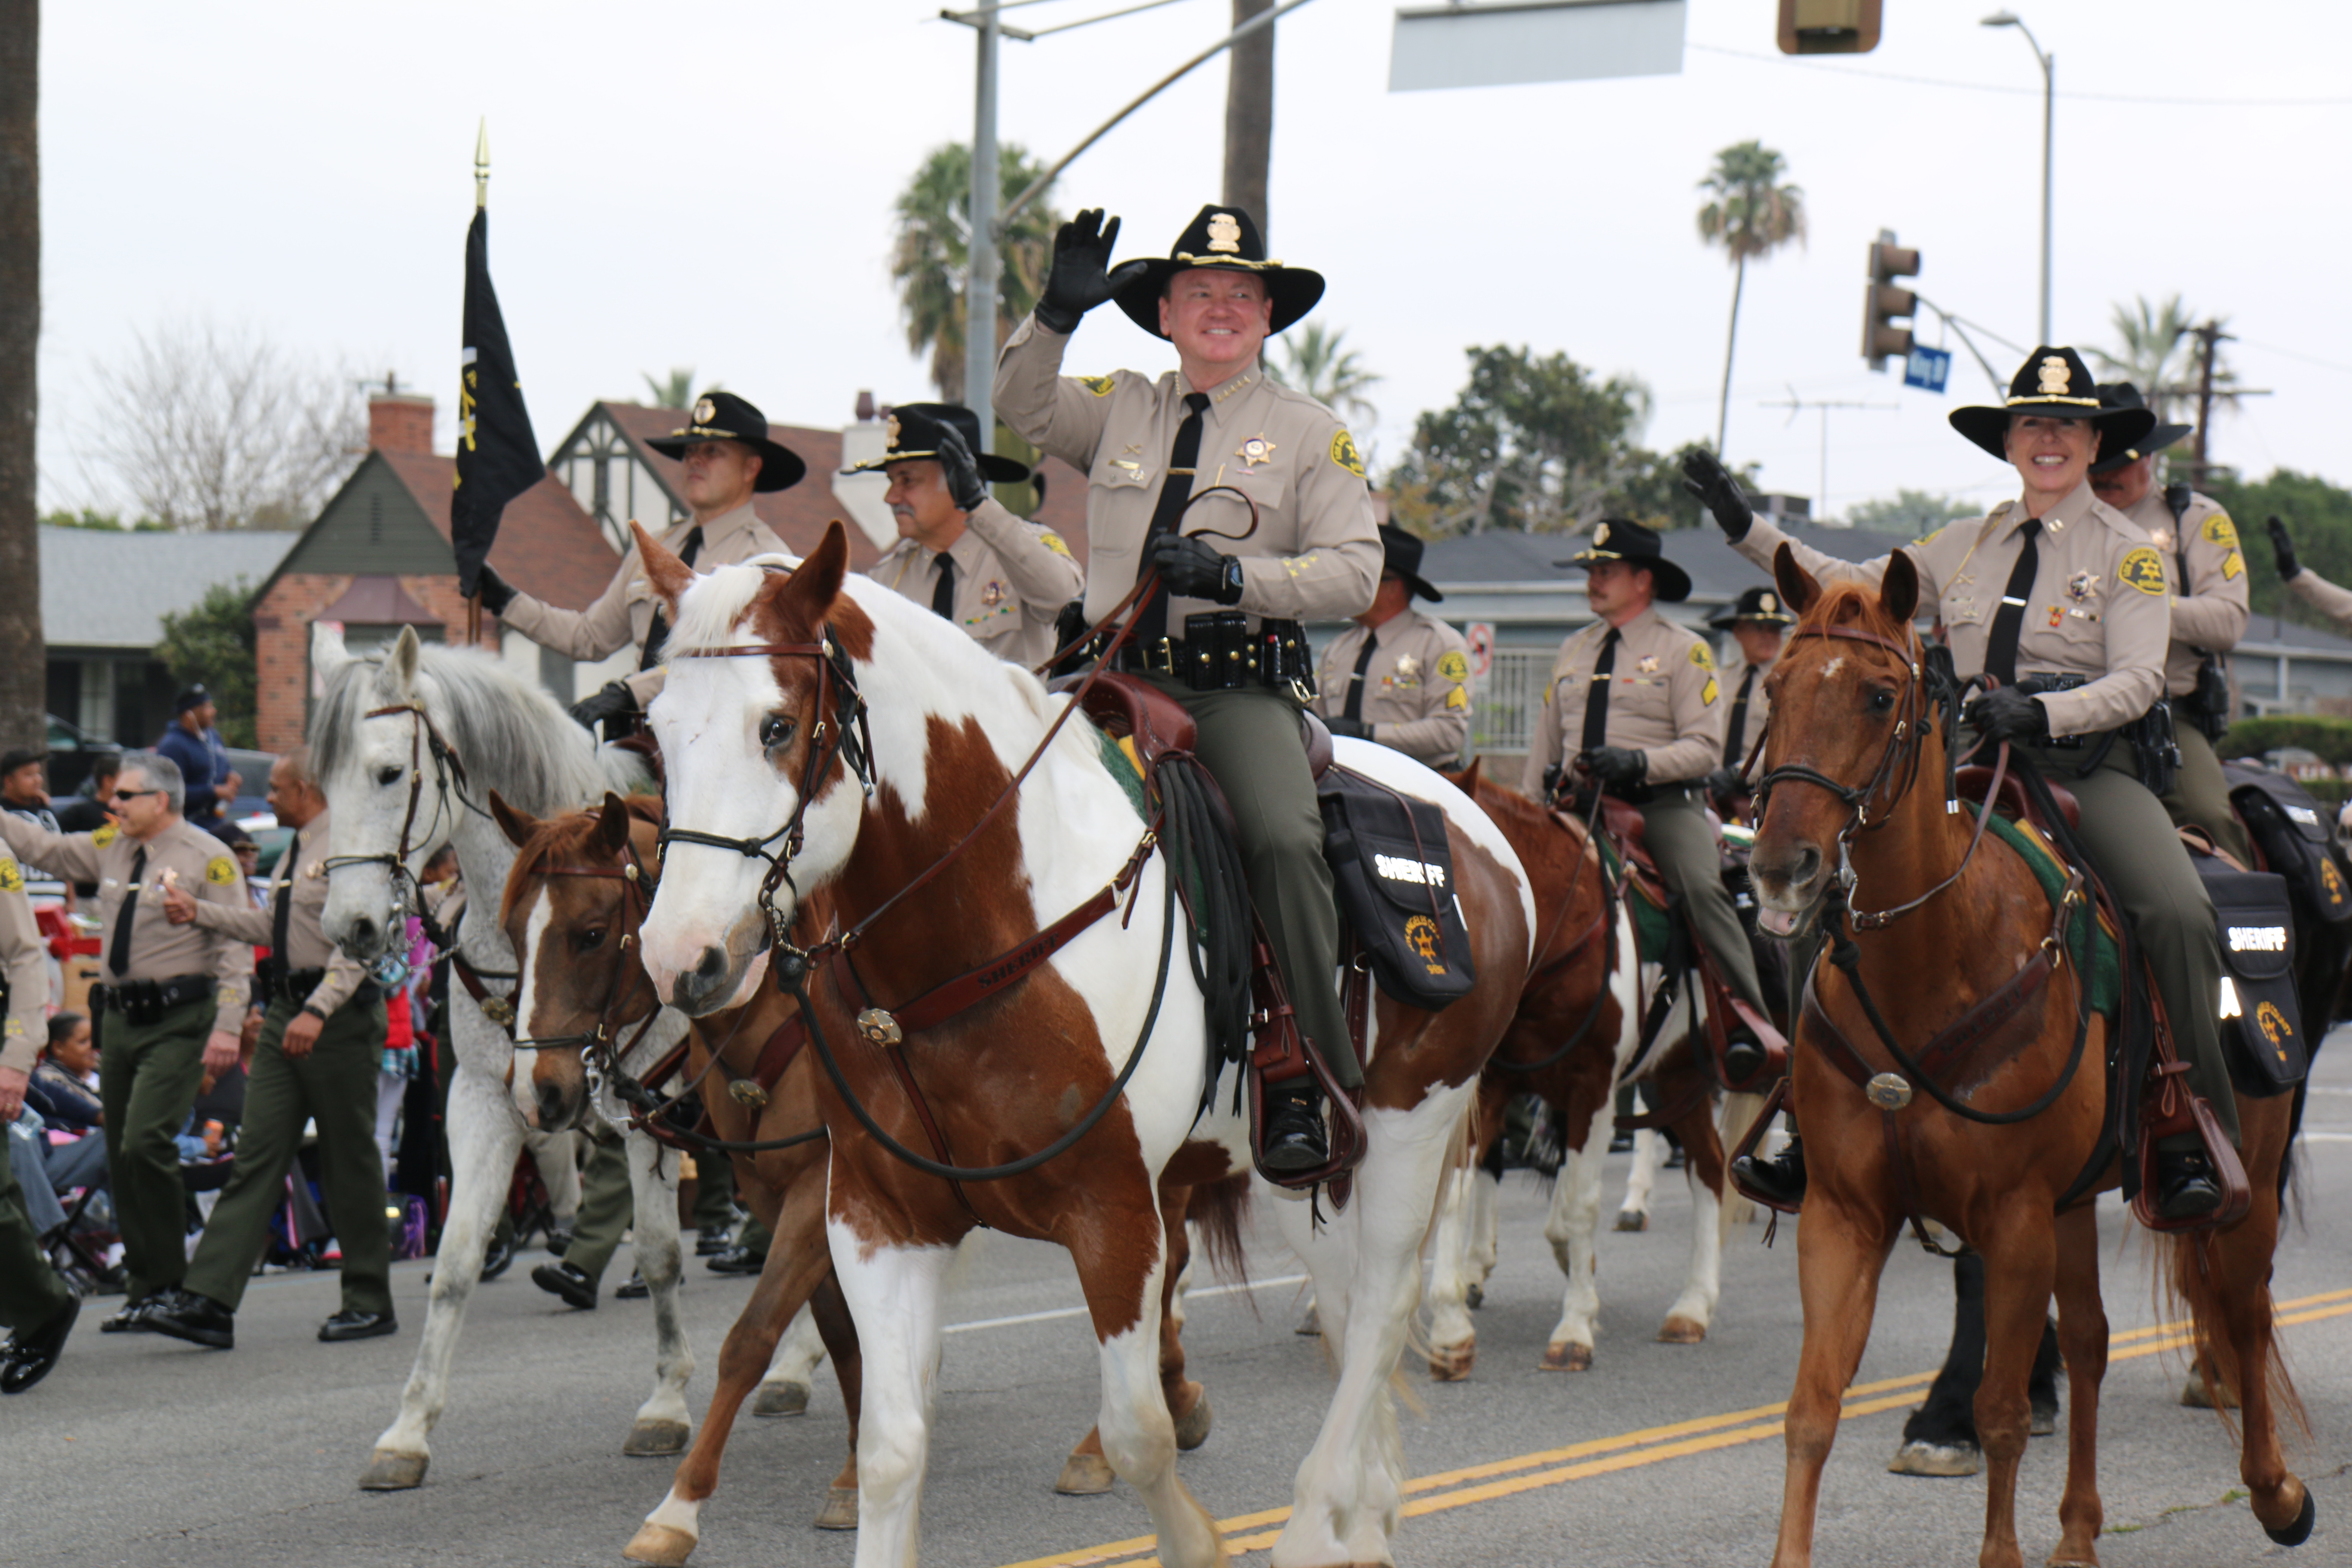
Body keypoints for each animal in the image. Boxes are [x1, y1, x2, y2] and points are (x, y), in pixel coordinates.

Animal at [301, 620, 696, 1495]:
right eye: (322, 781)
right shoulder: (487, 1098)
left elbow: (659, 1252)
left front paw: (667, 1405)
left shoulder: (650, 1106)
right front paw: (408, 1431)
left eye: (388, 771)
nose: (348, 926)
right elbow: (454, 1261)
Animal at [635, 527, 1533, 1568]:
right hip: (1297, 1165)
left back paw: (1316, 1522)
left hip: (1411, 1124)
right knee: (1348, 1308)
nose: (678, 955)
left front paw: (1195, 1540)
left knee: (1384, 1305)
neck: (980, 927)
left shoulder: (1116, 1214)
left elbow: (1139, 1434)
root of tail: (1476, 816)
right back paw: (1365, 1513)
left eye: (777, 727)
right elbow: (893, 1449)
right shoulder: (876, 1218)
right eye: (658, 733)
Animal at [1411, 766, 1768, 1382]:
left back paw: (1693, 1302)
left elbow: (1580, 1204)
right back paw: (1689, 1305)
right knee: (1707, 1165)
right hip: (1674, 1079)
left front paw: (1575, 1328)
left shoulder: (1594, 1087)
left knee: (1717, 1168)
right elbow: (1458, 1187)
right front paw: (1452, 1333)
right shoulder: (1492, 1086)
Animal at [1750, 552, 2314, 1568]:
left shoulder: (2010, 1220)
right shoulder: (1843, 1213)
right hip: (2073, 1202)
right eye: (1775, 687)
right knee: (2090, 1338)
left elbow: (2003, 1409)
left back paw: (2277, 1491)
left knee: (2244, 1310)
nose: (1782, 865)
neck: (1934, 956)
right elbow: (1812, 1410)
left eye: (1879, 696)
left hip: (2241, 1173)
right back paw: (2081, 1531)